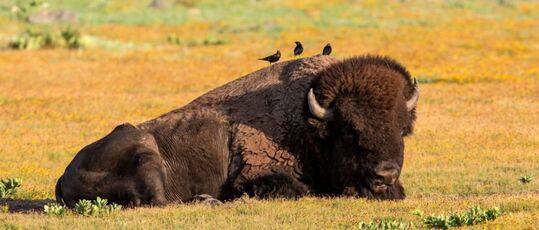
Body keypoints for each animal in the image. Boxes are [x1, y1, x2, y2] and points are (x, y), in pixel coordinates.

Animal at [57, 54, 422, 207]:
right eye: (350, 130)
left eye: (402, 130)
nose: (385, 175)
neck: (307, 121)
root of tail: (63, 177)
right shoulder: (258, 174)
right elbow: (294, 188)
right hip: (145, 153)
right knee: (158, 201)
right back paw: (207, 201)